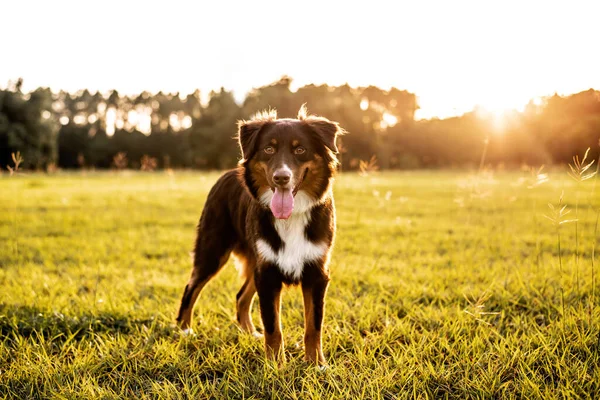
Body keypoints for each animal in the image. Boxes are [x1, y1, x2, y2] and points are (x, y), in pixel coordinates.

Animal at [176, 104, 342, 364]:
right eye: (269, 149)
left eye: (300, 149)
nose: (281, 178)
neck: (291, 217)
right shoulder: (268, 273)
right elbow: (273, 326)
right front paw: (276, 365)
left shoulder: (316, 272)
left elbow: (314, 325)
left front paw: (317, 364)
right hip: (213, 251)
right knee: (191, 288)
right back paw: (185, 330)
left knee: (240, 297)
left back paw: (249, 332)